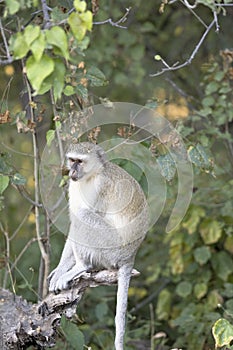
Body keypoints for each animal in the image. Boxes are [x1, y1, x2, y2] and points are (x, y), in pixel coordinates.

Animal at [48, 142, 148, 350]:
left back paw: (81, 267)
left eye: (80, 161)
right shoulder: (74, 186)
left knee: (84, 216)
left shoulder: (101, 186)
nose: (72, 171)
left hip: (111, 248)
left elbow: (79, 219)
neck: (90, 176)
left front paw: (68, 270)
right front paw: (60, 269)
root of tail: (130, 256)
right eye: (72, 160)